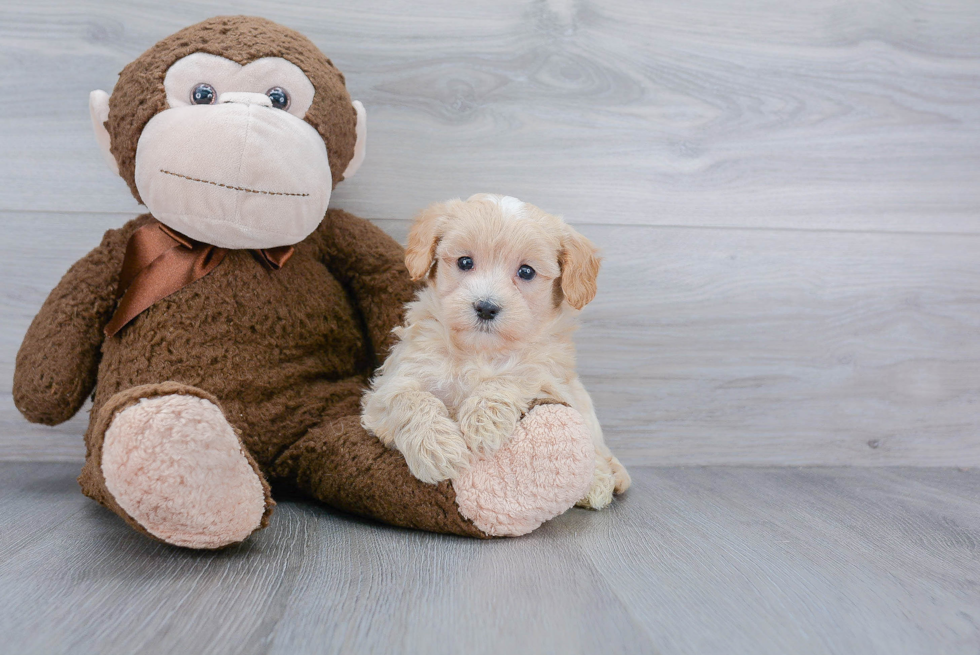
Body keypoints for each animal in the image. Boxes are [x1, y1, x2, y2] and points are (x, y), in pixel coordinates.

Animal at [360, 192, 628, 510]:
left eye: (526, 271)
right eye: (465, 262)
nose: (486, 307)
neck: (480, 351)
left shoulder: (549, 378)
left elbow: (513, 377)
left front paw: (482, 423)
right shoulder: (388, 387)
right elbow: (410, 399)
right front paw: (438, 449)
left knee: (597, 448)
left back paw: (598, 482)